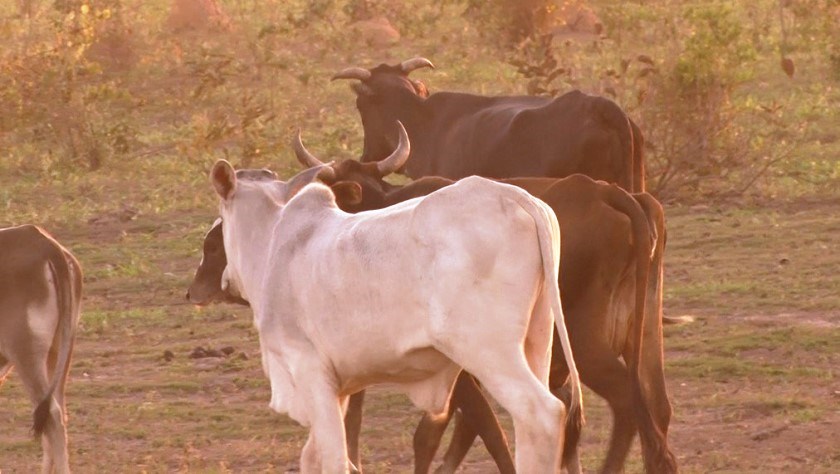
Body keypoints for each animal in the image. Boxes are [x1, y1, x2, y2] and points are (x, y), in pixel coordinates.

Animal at [210, 128, 584, 472]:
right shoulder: (338, 389)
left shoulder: (310, 372)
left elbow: (333, 458)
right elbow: (315, 457)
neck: (276, 243)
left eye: (222, 220)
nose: (224, 276)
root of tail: (514, 196)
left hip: (489, 350)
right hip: (538, 340)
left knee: (540, 413)